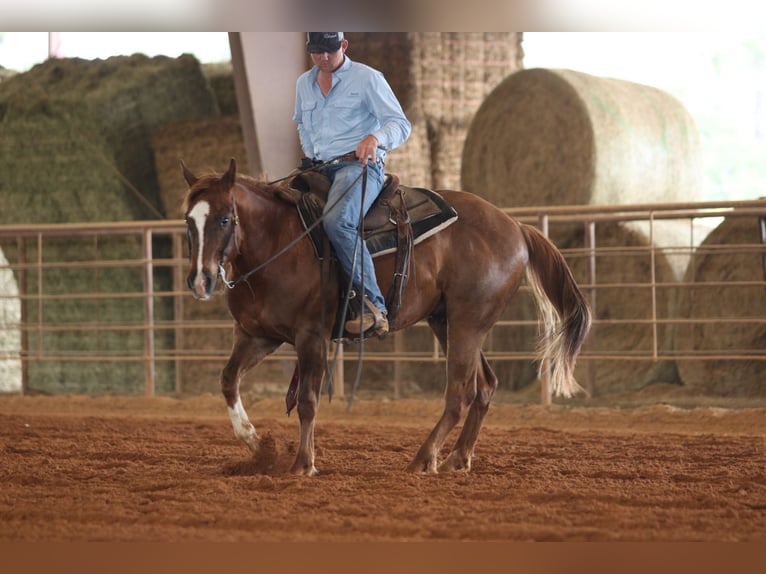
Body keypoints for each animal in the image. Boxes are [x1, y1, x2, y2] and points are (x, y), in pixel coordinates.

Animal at [183, 159, 592, 476]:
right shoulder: (257, 335)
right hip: (448, 322)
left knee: (460, 392)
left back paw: (424, 458)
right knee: (485, 386)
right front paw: (255, 444)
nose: (200, 279)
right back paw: (457, 459)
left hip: (467, 322)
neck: (278, 242)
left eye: (225, 219)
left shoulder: (310, 336)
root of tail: (515, 227)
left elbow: (308, 400)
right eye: (189, 221)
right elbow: (228, 380)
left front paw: (303, 464)